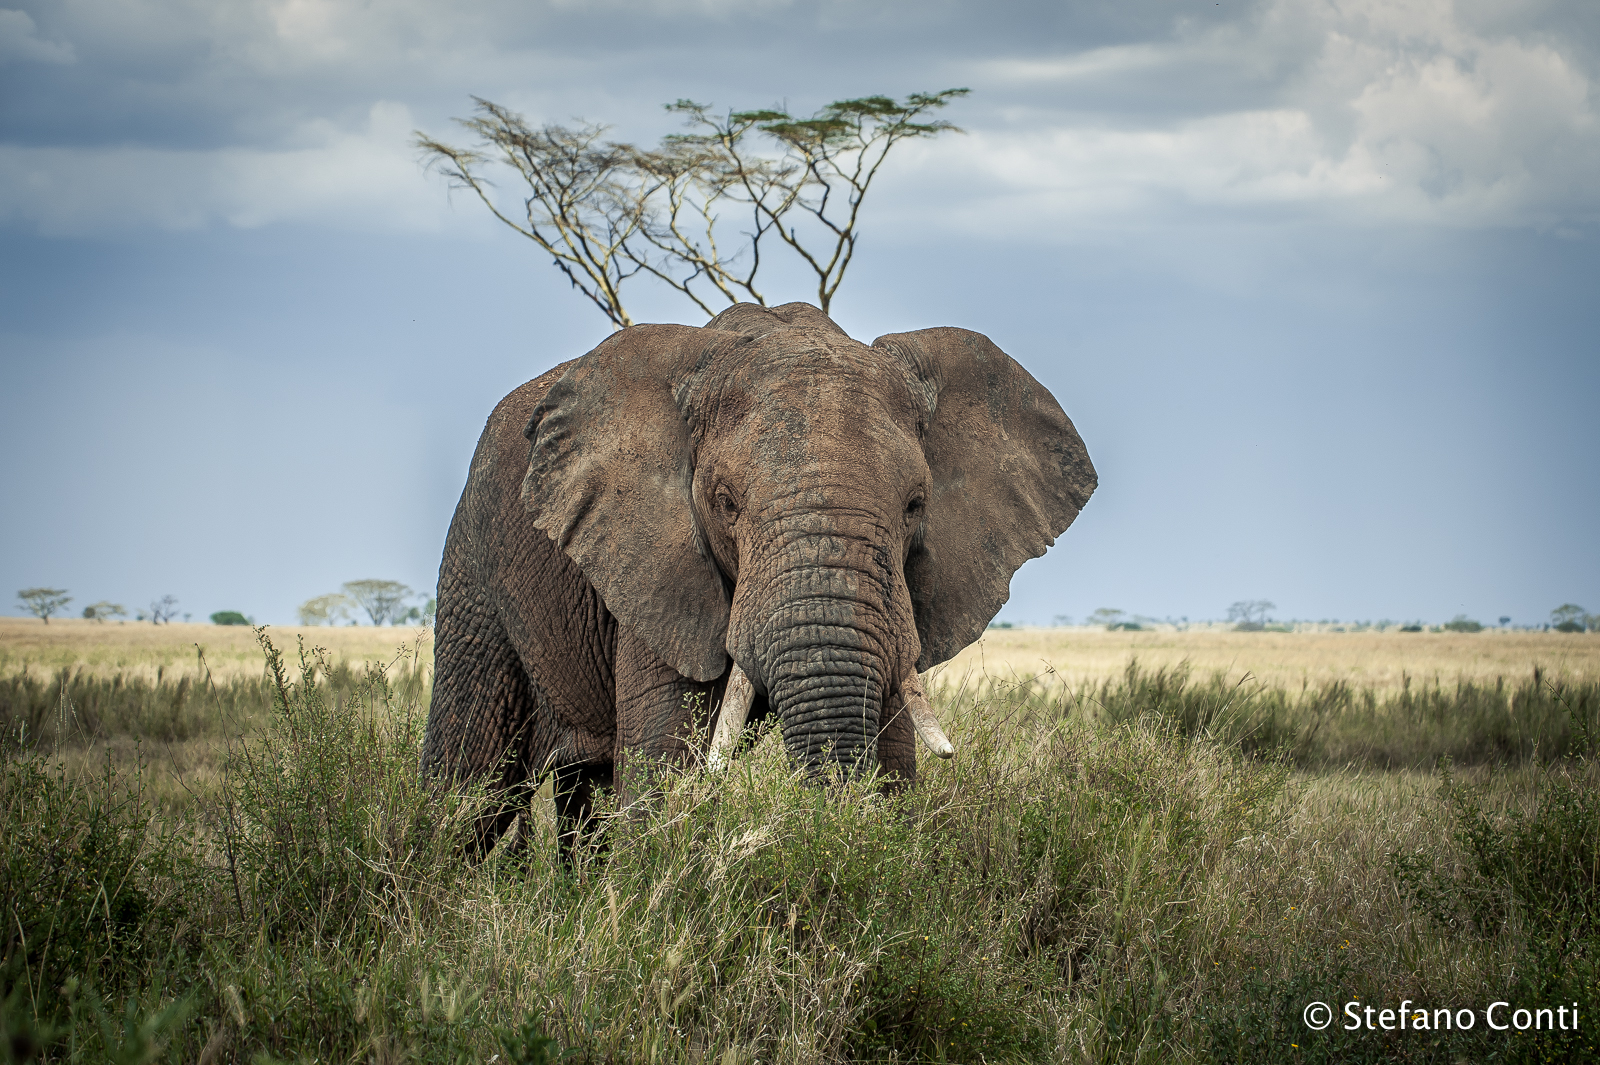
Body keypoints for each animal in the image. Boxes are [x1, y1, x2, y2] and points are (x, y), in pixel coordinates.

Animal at [420, 301, 1096, 854]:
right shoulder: (653, 569)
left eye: (914, 506)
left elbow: (896, 758)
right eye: (725, 502)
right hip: (473, 557)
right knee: (469, 789)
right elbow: (666, 764)